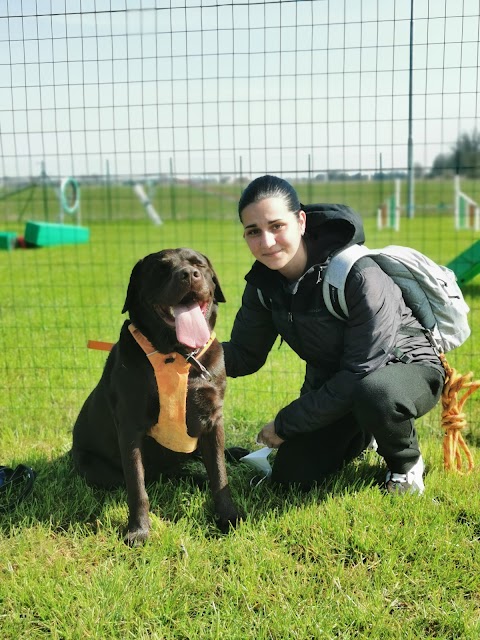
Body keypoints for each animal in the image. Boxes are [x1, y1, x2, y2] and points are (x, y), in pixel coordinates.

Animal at [72, 249, 240, 544]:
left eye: (199, 264)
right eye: (161, 269)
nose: (189, 274)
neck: (178, 357)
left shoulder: (212, 421)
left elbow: (220, 475)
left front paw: (228, 517)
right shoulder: (130, 427)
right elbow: (137, 488)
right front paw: (138, 531)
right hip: (90, 464)